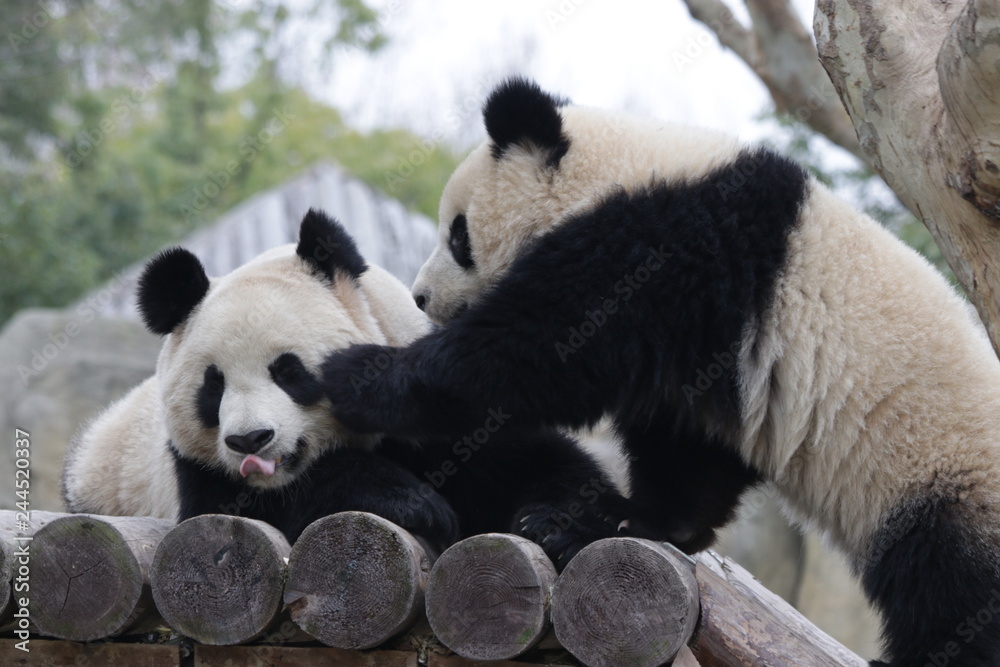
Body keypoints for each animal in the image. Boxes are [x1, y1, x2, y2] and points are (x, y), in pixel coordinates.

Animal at [63, 209, 629, 564]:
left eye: (288, 371)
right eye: (213, 386)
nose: (250, 441)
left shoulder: (446, 406)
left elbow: (550, 466)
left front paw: (553, 525)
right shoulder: (193, 472)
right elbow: (251, 509)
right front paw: (415, 502)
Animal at [319, 78, 1000, 666]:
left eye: (458, 235)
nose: (421, 296)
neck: (625, 168)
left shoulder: (667, 246)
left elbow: (539, 350)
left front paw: (359, 376)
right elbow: (686, 447)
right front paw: (615, 519)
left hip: (941, 472)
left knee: (953, 585)